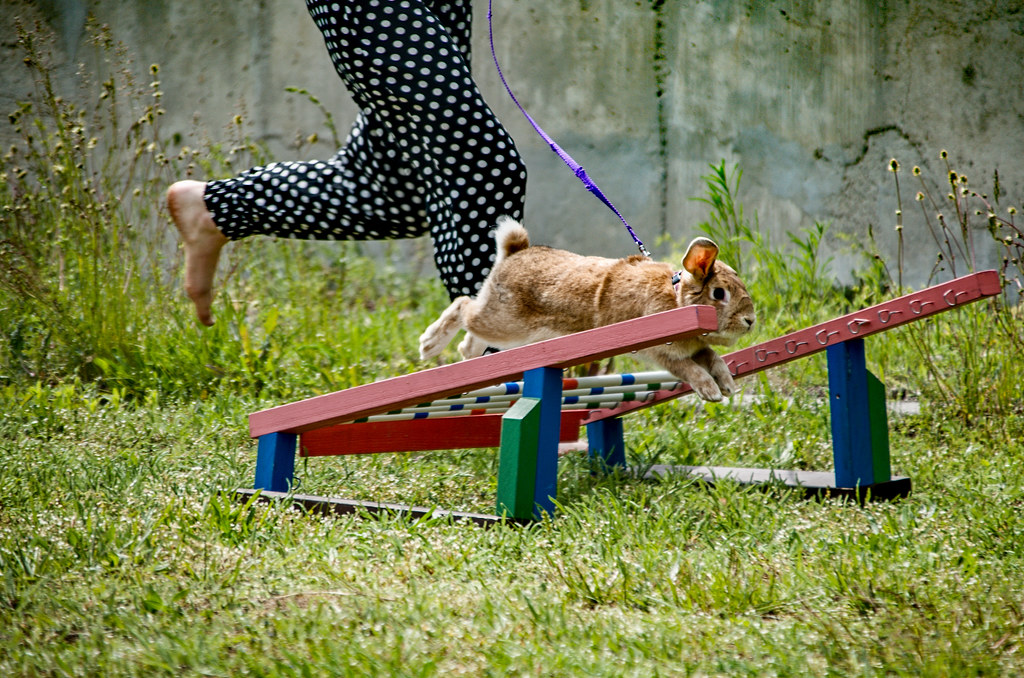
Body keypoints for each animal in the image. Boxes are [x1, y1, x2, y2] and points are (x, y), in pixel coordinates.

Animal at [417, 218, 761, 401]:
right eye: (719, 293)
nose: (750, 321)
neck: (677, 301)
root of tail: (513, 253)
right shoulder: (663, 353)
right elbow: (690, 370)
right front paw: (711, 392)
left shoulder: (697, 348)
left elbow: (714, 359)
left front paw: (727, 386)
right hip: (506, 323)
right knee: (463, 307)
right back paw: (429, 344)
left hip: (512, 334)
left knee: (471, 332)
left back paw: (467, 356)